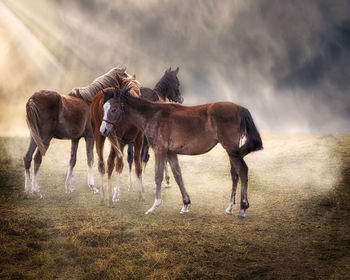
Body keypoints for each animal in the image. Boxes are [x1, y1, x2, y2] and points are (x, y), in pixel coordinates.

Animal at [23, 66, 127, 198]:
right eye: (126, 79)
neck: (91, 102)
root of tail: (32, 99)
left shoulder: (75, 139)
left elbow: (72, 160)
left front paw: (68, 187)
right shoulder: (90, 137)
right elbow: (90, 159)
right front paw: (93, 187)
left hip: (34, 137)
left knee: (27, 157)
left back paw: (27, 190)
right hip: (44, 139)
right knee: (37, 159)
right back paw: (36, 191)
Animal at [90, 75, 145, 207]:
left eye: (114, 109)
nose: (103, 129)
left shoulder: (138, 141)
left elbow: (138, 166)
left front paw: (140, 194)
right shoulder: (120, 141)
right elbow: (119, 166)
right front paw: (116, 195)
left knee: (109, 163)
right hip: (100, 136)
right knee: (102, 164)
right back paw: (104, 197)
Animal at [99, 86, 262, 219]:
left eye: (113, 109)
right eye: (104, 108)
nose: (103, 130)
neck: (153, 115)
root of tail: (240, 108)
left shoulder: (160, 150)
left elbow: (158, 176)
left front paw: (154, 206)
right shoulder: (171, 153)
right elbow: (178, 176)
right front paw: (185, 204)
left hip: (231, 150)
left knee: (242, 170)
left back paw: (242, 208)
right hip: (232, 151)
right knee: (235, 174)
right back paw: (229, 207)